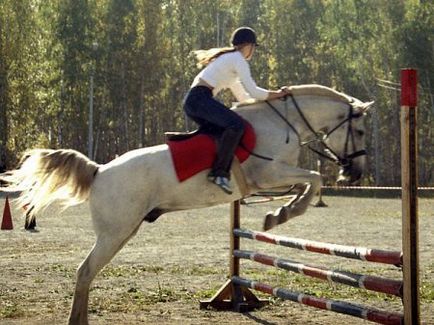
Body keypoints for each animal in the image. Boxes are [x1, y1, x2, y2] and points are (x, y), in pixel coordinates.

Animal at [0, 84, 372, 324]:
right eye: (362, 132)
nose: (355, 173)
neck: (283, 123)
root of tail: (99, 170)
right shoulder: (268, 174)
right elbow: (314, 178)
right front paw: (282, 215)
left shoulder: (275, 179)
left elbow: (306, 183)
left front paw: (279, 213)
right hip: (115, 233)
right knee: (85, 271)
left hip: (123, 231)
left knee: (87, 273)